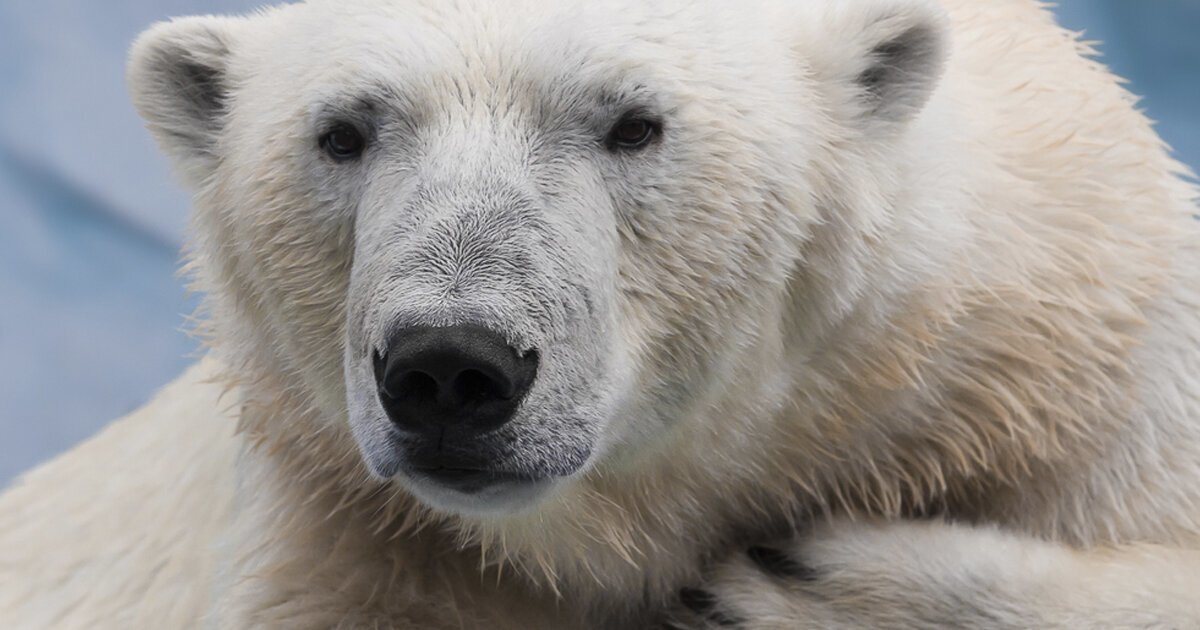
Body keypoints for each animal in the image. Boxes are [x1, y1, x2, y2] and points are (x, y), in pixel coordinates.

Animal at [2, 0, 1200, 624]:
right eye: (341, 132)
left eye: (634, 123)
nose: (450, 368)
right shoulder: (347, 544)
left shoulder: (1076, 377)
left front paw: (809, 581)